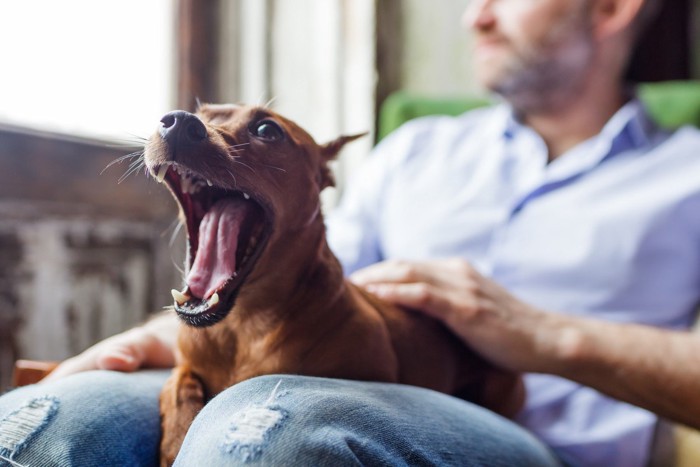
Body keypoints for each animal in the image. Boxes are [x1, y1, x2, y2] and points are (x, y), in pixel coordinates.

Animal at [144, 104, 524, 466]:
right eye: (201, 113)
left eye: (267, 129)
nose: (179, 121)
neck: (241, 325)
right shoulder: (187, 360)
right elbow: (176, 384)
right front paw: (175, 437)